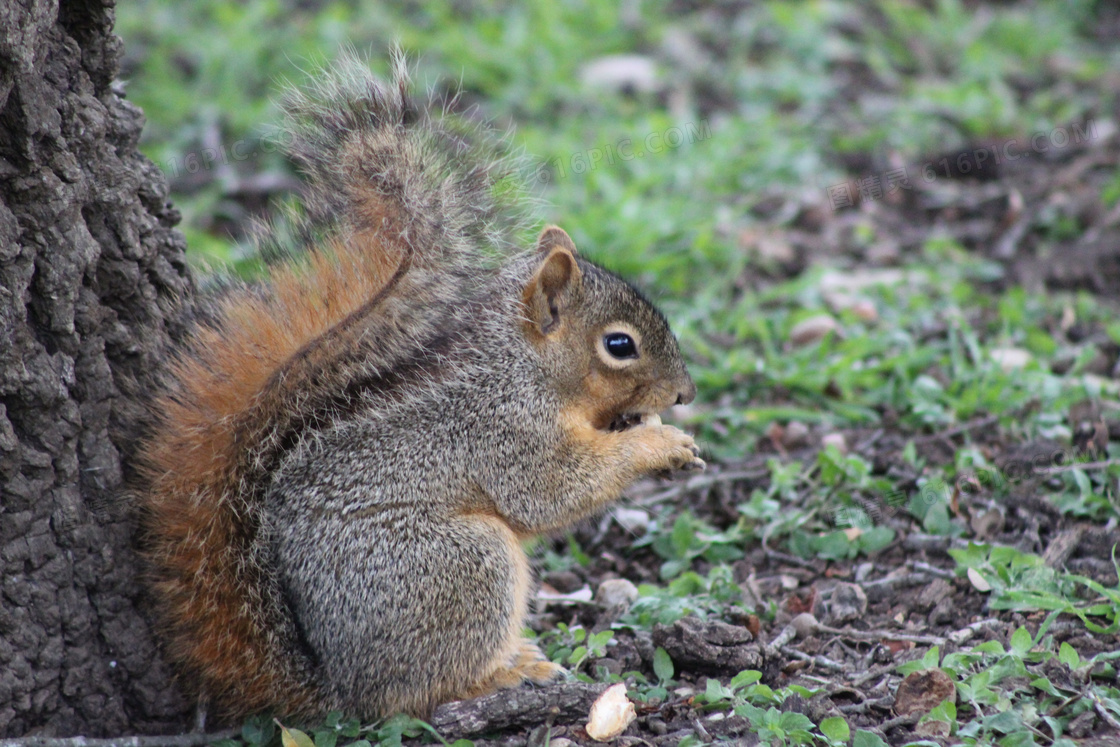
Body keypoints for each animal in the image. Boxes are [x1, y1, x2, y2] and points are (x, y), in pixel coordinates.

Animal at [135, 54, 703, 725]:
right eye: (619, 345)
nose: (684, 394)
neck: (524, 366)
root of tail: (336, 685)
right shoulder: (505, 430)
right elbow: (551, 493)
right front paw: (660, 444)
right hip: (461, 566)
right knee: (412, 692)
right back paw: (502, 674)